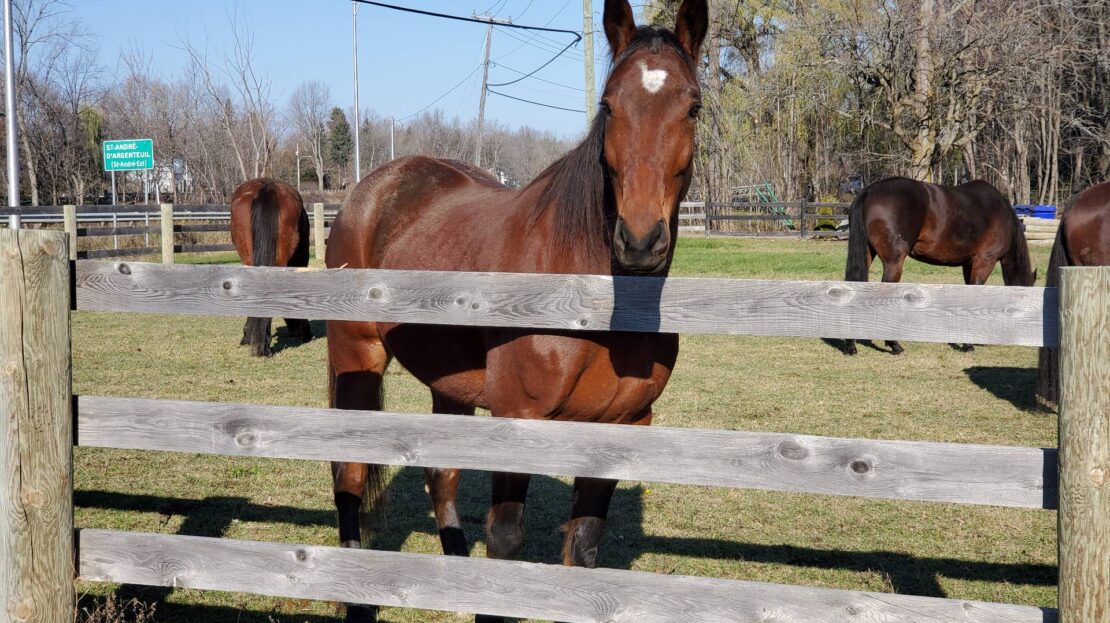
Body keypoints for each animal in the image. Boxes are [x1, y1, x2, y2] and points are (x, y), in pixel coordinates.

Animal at [324, 1, 707, 621]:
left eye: (692, 106)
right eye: (608, 105)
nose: (640, 241)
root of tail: (368, 190)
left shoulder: (623, 427)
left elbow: (585, 547)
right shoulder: (517, 420)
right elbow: (505, 542)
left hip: (449, 384)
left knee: (441, 476)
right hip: (357, 357)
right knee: (350, 473)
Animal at [841, 177, 1036, 356]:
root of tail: (870, 191)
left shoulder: (969, 264)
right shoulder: (984, 261)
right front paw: (968, 344)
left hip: (868, 254)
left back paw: (851, 345)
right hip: (893, 263)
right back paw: (894, 344)